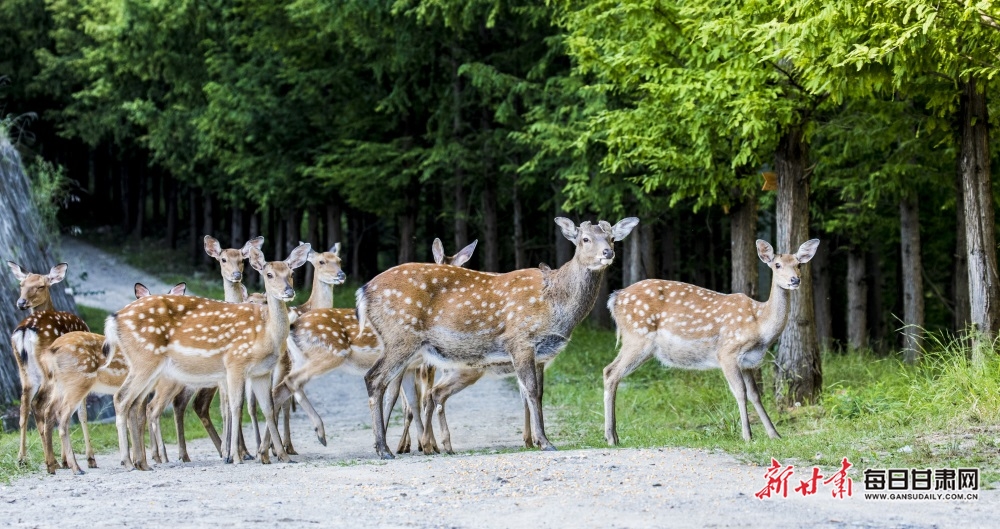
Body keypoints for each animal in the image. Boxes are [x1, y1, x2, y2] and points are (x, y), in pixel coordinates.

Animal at [7, 260, 88, 470]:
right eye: (21, 285)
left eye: (40, 286)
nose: (21, 303)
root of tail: (26, 330)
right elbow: (78, 412)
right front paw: (74, 459)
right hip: (47, 372)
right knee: (41, 405)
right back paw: (52, 461)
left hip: (24, 370)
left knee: (25, 407)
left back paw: (23, 458)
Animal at [105, 241, 308, 468]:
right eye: (269, 274)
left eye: (291, 273)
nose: (289, 291)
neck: (266, 335)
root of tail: (113, 319)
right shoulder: (235, 363)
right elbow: (235, 406)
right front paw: (236, 456)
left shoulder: (260, 372)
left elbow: (269, 408)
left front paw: (281, 455)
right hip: (146, 361)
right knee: (122, 398)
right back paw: (129, 461)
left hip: (150, 367)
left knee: (136, 404)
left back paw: (142, 463)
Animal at [358, 218, 640, 458]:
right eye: (584, 239)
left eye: (612, 237)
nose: (608, 253)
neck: (555, 303)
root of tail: (363, 292)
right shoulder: (521, 340)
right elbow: (531, 390)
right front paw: (545, 442)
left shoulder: (540, 354)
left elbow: (537, 394)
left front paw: (536, 440)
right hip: (401, 336)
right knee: (375, 379)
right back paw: (386, 449)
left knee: (398, 390)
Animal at [600, 238, 820, 442]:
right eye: (777, 265)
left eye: (799, 264)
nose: (795, 280)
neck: (759, 325)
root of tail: (614, 298)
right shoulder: (727, 352)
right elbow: (740, 392)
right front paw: (747, 436)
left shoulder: (748, 361)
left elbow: (755, 395)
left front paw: (774, 434)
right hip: (637, 337)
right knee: (610, 372)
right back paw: (611, 437)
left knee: (610, 371)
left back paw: (614, 435)